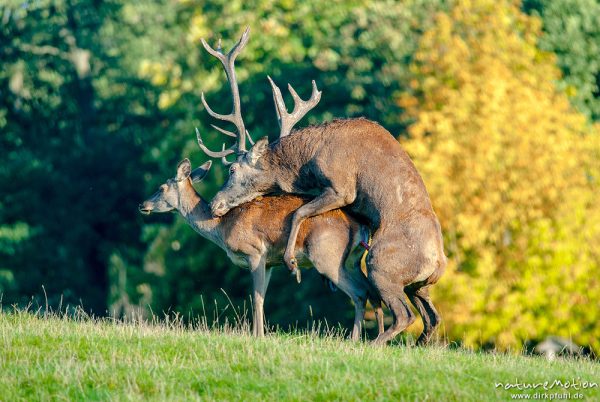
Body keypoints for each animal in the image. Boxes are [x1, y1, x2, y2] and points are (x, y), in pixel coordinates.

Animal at [196, 28, 446, 344]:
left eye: (232, 168)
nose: (214, 204)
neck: (308, 160)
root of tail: (438, 264)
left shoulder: (341, 187)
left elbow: (298, 213)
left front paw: (291, 262)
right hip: (419, 286)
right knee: (432, 318)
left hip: (381, 263)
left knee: (404, 314)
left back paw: (372, 343)